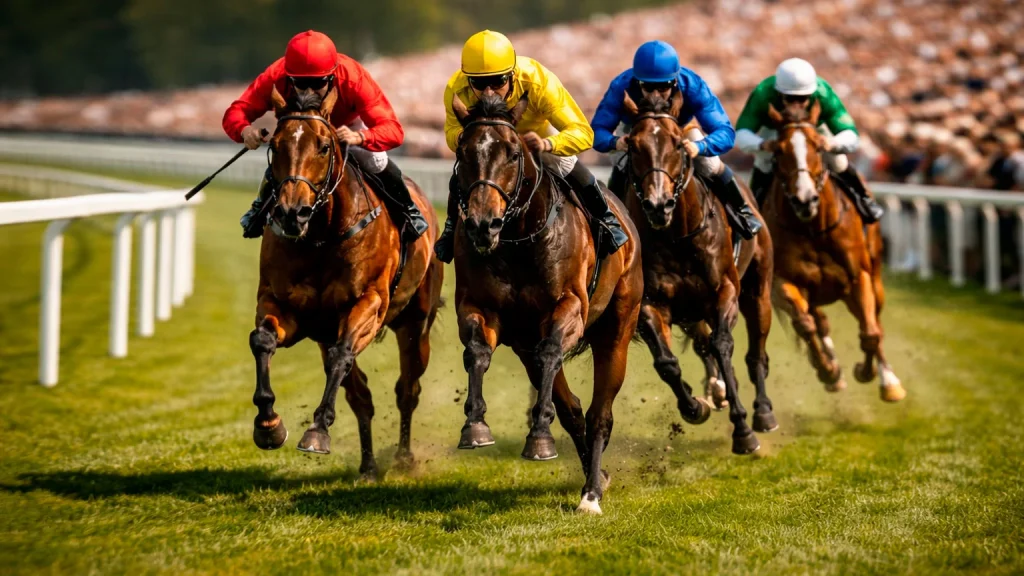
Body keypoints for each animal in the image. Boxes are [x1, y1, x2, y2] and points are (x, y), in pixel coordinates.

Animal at [247, 86, 444, 481]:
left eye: (324, 146)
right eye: (273, 145)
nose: (291, 213)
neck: (321, 235)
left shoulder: (368, 303)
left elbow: (344, 355)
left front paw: (317, 431)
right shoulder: (286, 307)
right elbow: (262, 340)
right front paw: (268, 424)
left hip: (415, 324)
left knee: (408, 388)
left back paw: (403, 456)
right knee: (361, 396)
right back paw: (368, 465)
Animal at [448, 93, 644, 514]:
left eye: (512, 153)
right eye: (463, 151)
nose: (482, 225)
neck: (518, 240)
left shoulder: (569, 307)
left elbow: (552, 350)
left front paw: (539, 437)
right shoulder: (481, 308)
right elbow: (477, 353)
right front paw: (475, 426)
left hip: (618, 326)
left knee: (600, 413)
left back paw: (591, 493)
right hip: (524, 347)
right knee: (572, 410)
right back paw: (595, 475)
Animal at [622, 90, 777, 455]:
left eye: (678, 144)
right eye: (633, 145)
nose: (658, 205)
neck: (676, 235)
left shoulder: (725, 291)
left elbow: (723, 345)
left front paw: (743, 430)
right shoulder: (652, 303)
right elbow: (667, 363)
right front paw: (694, 406)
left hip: (758, 291)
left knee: (755, 353)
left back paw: (763, 412)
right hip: (691, 312)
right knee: (704, 345)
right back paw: (717, 391)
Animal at [761, 100, 905, 402]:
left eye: (818, 147)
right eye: (778, 151)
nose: (804, 199)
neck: (813, 228)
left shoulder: (858, 277)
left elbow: (870, 333)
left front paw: (867, 372)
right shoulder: (783, 281)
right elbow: (806, 325)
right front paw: (829, 370)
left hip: (875, 276)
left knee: (876, 322)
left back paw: (889, 381)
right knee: (818, 321)